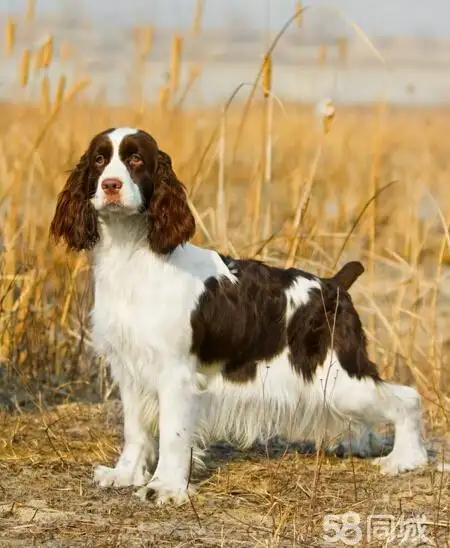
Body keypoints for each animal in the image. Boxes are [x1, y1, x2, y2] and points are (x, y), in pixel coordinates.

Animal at [50, 127, 428, 506]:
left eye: (136, 159)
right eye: (99, 159)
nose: (111, 185)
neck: (133, 255)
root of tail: (333, 286)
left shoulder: (176, 373)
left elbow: (172, 435)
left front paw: (166, 487)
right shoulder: (129, 367)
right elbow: (135, 429)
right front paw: (125, 474)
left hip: (338, 378)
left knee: (406, 398)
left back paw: (403, 460)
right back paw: (359, 445)